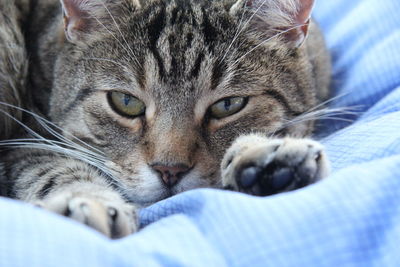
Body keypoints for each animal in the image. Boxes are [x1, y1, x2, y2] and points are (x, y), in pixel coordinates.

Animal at [0, 0, 330, 240]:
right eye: (126, 102)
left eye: (228, 105)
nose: (169, 170)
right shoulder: (25, 139)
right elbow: (54, 168)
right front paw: (88, 202)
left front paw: (266, 156)